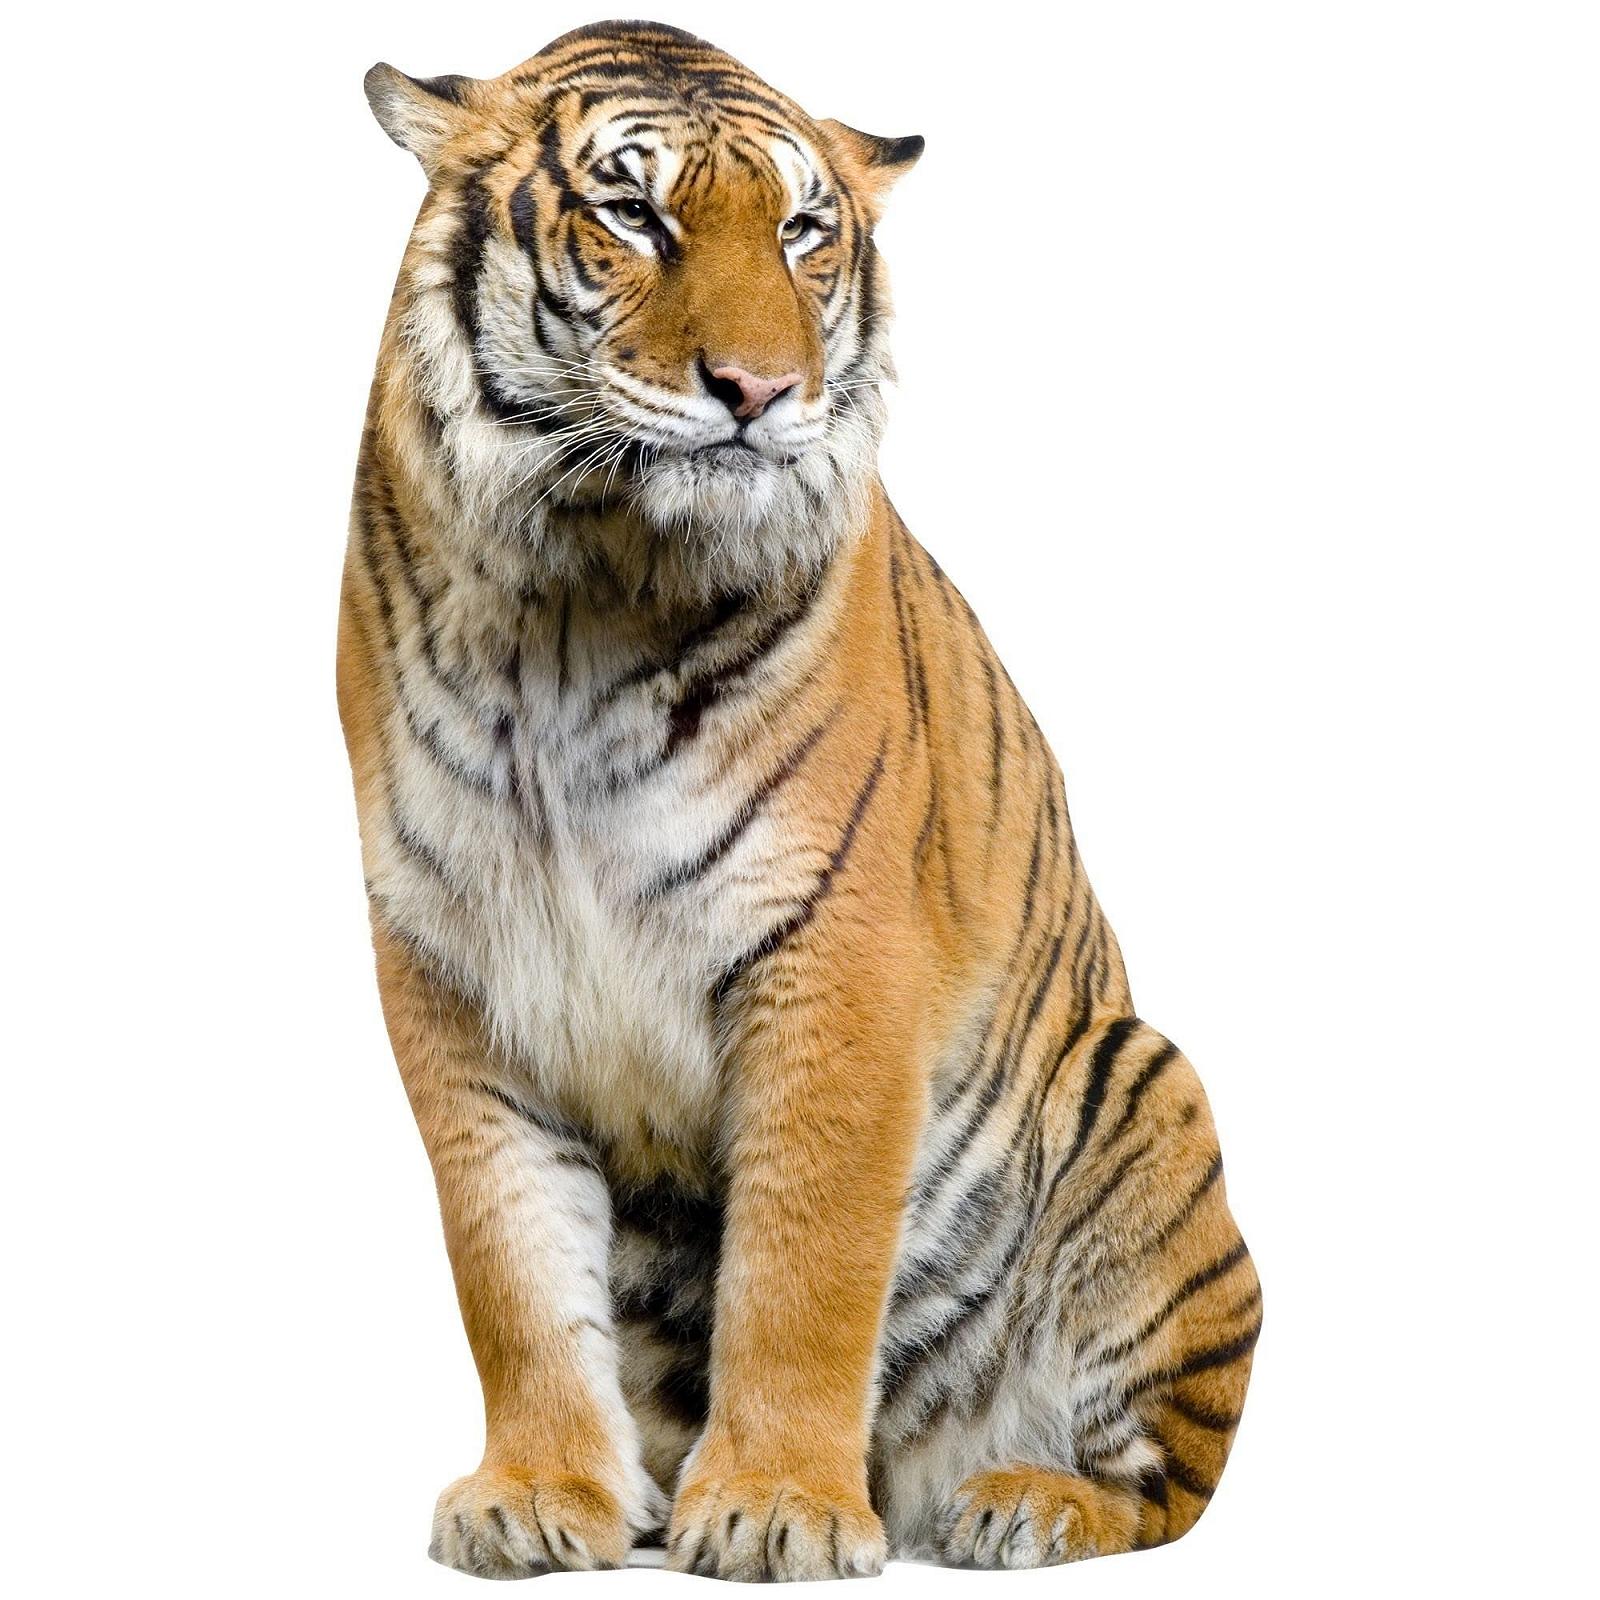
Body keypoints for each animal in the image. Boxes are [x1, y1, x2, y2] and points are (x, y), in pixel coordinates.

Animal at [339, 19, 1260, 1582]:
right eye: (632, 214)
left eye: (800, 231)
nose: (759, 392)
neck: (577, 598)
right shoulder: (451, 963)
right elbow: (510, 1265)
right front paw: (539, 1494)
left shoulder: (830, 950)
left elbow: (802, 1263)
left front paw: (774, 1506)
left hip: (1146, 1087)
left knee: (1168, 1481)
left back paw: (1020, 1502)